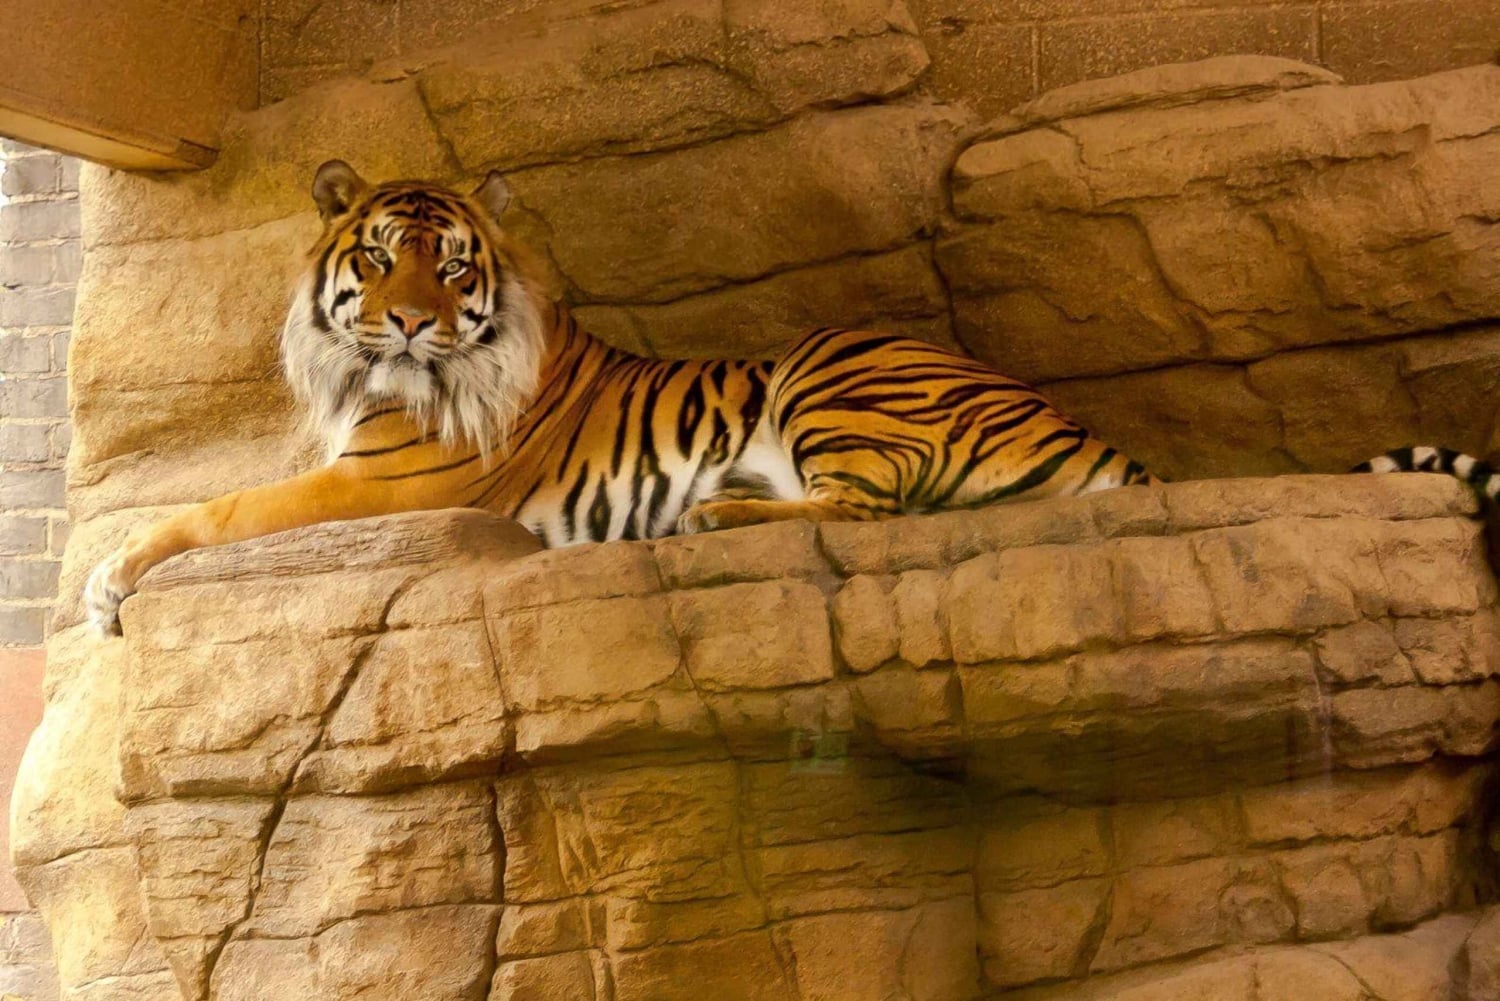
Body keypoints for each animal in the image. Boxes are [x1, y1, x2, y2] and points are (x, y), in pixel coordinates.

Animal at [82, 162, 1498, 635]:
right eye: (379, 257)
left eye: (453, 262)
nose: (417, 320)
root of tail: (1082, 425)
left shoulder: (381, 477)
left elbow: (214, 510)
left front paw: (104, 581)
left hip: (832, 361)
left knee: (866, 512)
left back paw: (712, 517)